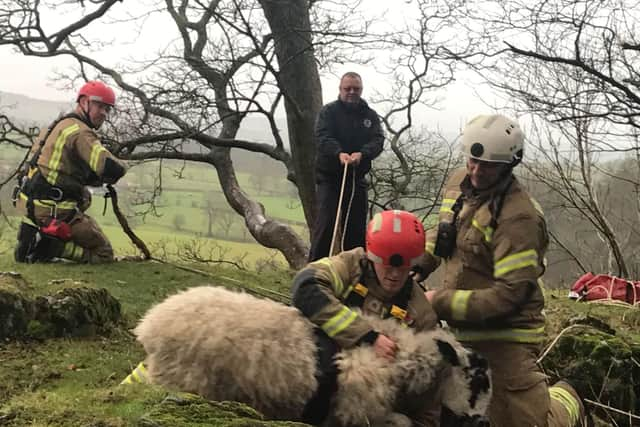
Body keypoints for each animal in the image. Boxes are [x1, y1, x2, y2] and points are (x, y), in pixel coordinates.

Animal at [135, 288, 492, 427]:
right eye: (477, 380)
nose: (481, 421)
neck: (401, 357)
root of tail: (151, 324)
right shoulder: (355, 413)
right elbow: (402, 421)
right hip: (180, 378)